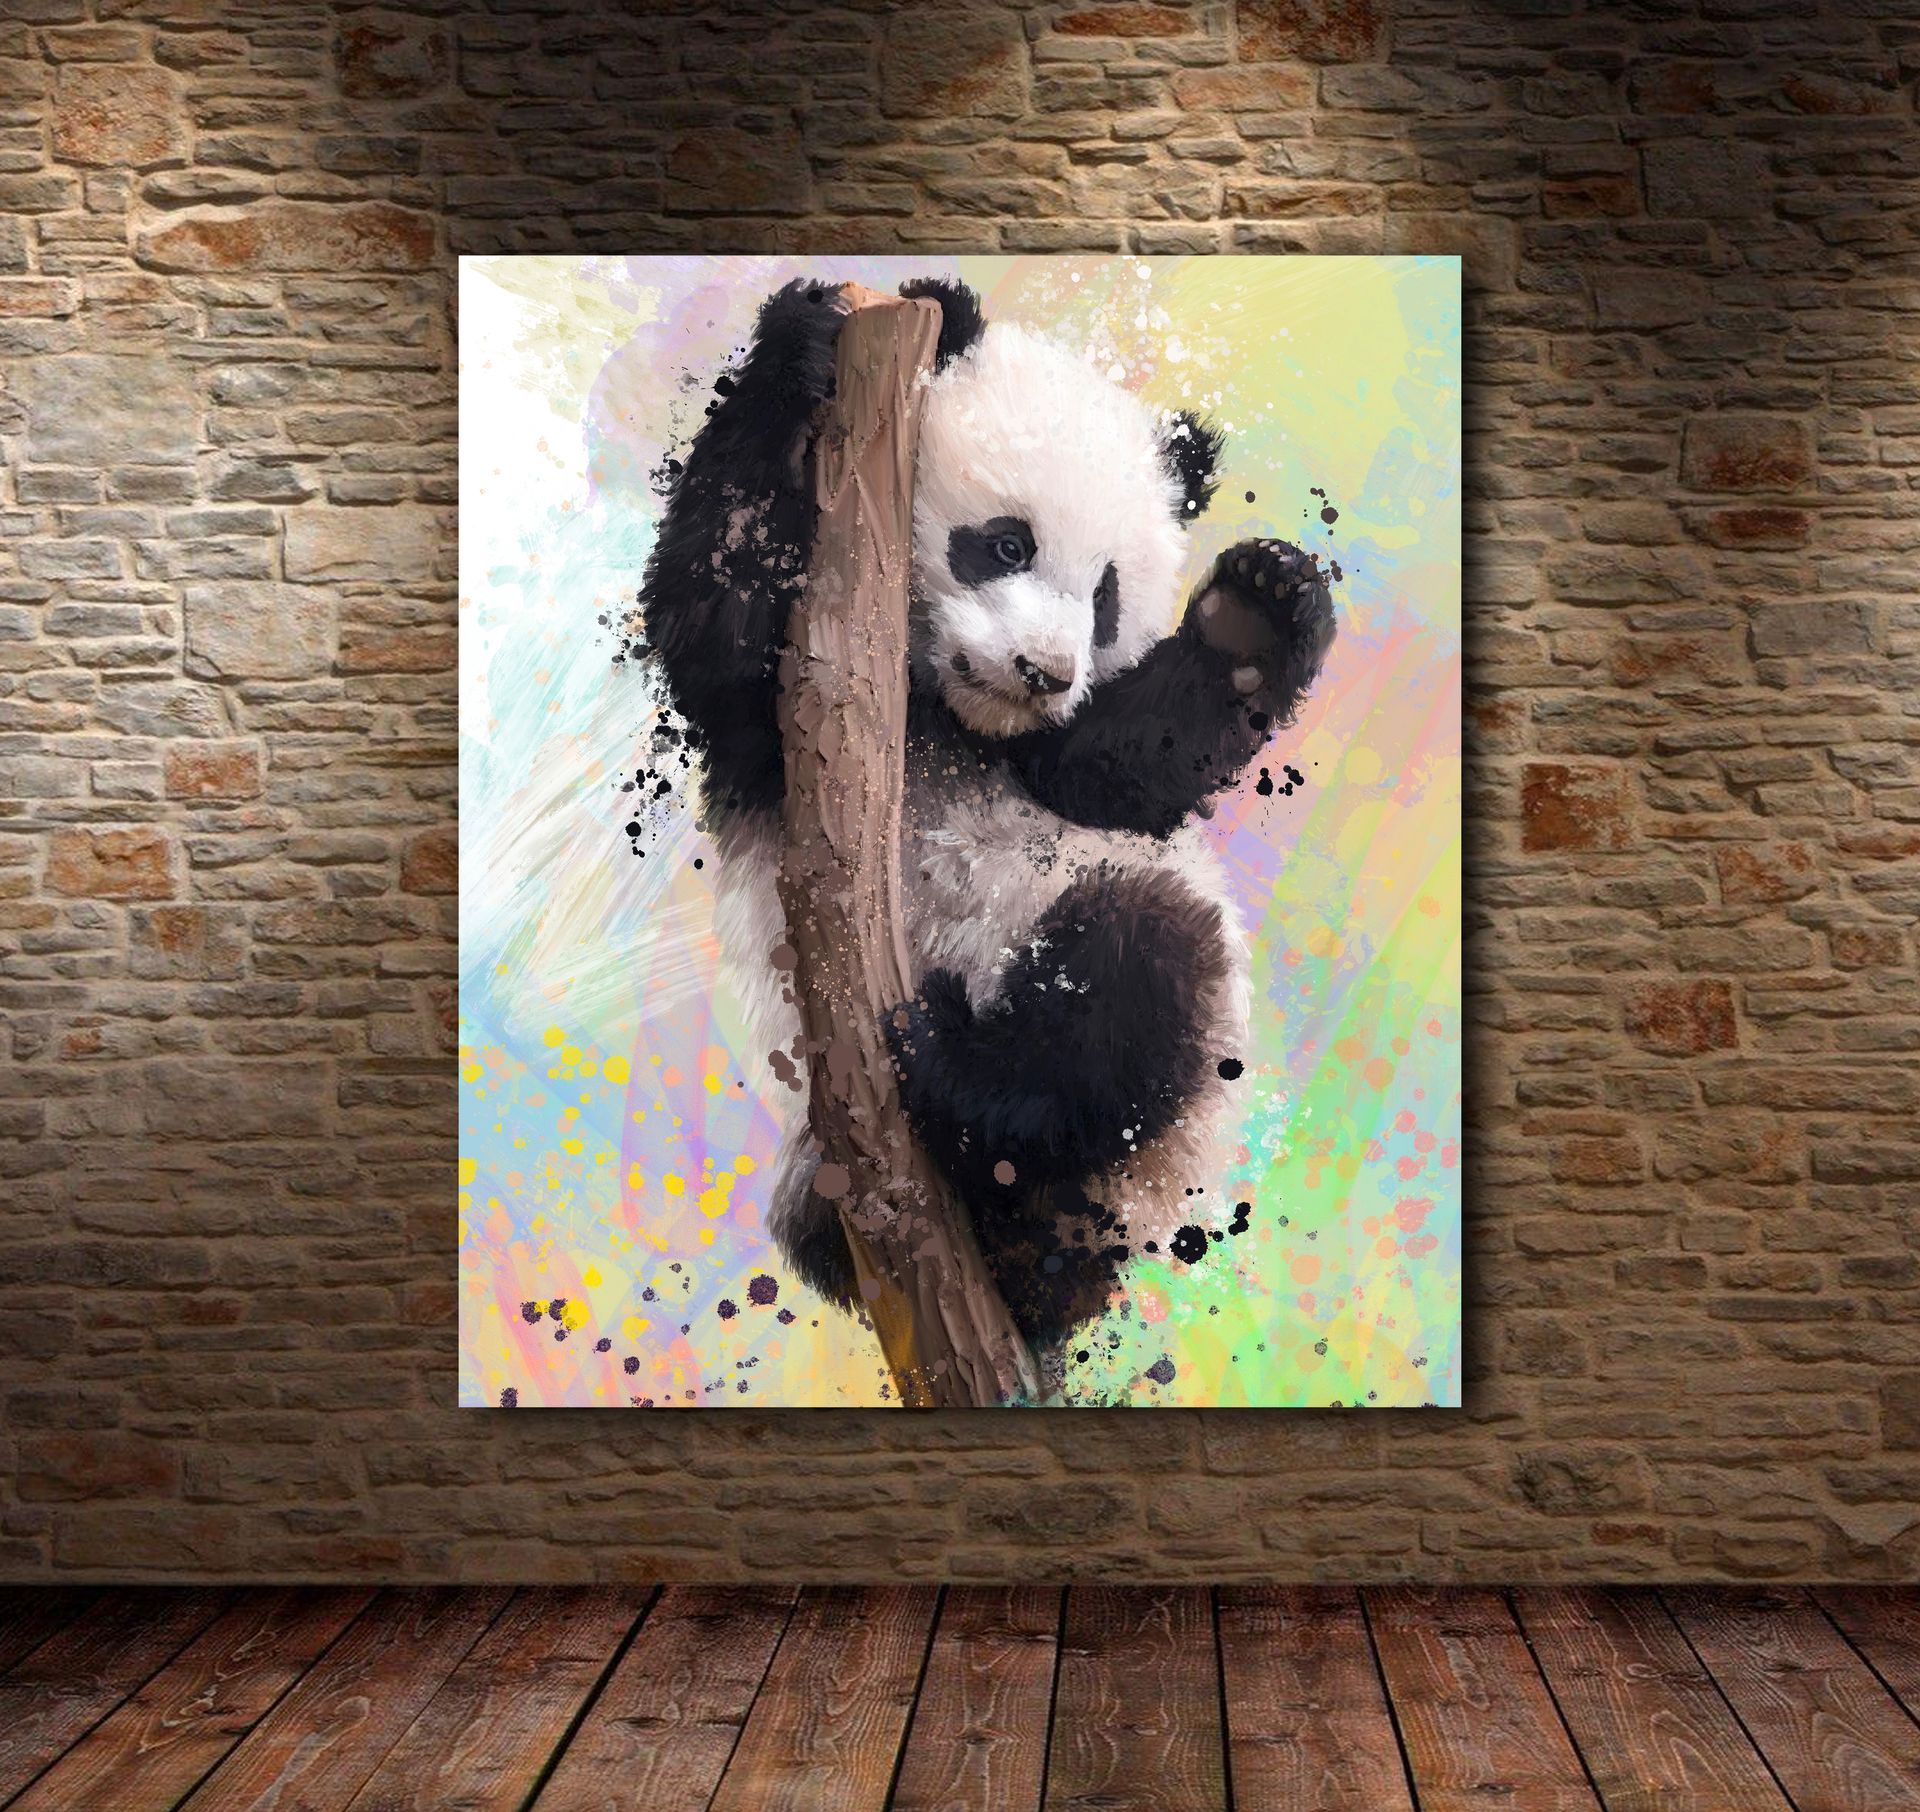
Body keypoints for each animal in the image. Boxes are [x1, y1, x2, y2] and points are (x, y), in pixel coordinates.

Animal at [639, 275, 1335, 1356]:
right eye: (1005, 544)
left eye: (1104, 597)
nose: (1043, 672)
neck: (951, 715)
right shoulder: (784, 717)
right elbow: (719, 622)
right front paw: (802, 341)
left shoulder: (1059, 754)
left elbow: (1118, 770)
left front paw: (1254, 613)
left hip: (1143, 1087)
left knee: (1134, 980)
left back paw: (961, 1084)